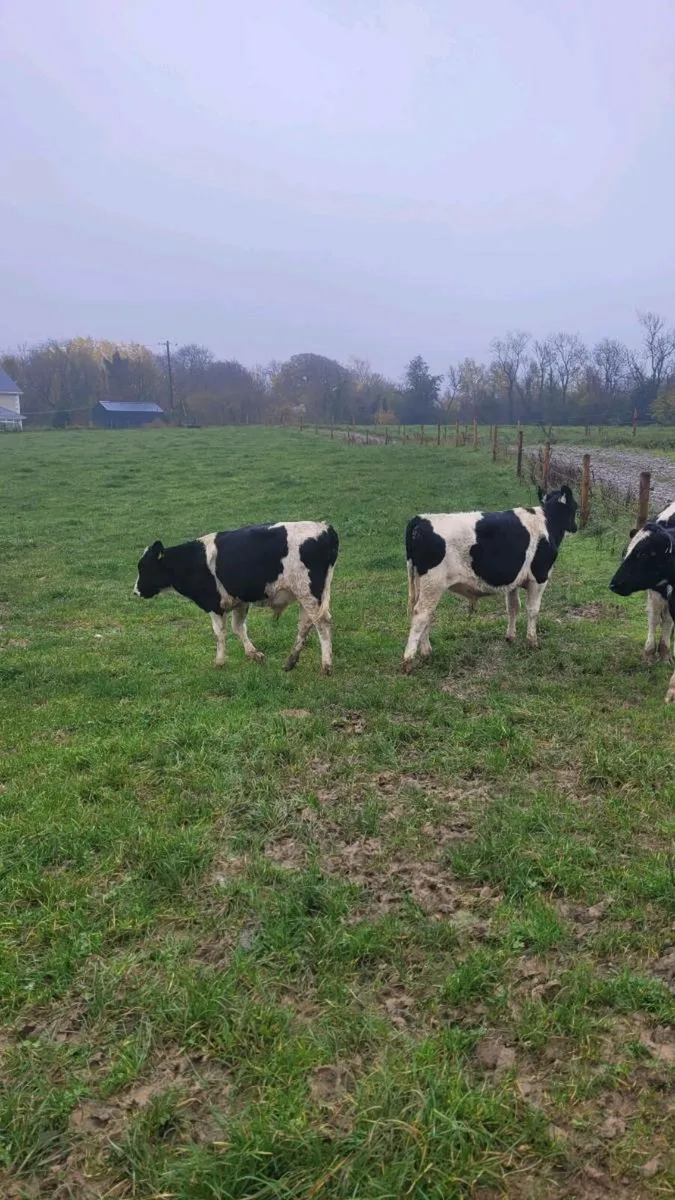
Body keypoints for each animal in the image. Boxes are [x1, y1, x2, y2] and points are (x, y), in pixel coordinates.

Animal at [134, 521, 339, 675]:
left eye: (143, 568)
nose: (136, 591)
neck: (191, 561)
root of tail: (326, 529)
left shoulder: (214, 604)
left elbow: (219, 633)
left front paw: (219, 661)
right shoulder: (240, 601)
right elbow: (238, 628)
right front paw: (254, 654)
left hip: (308, 592)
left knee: (321, 623)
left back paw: (326, 665)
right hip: (307, 595)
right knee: (305, 625)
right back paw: (290, 661)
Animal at [403, 485, 578, 672]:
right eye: (575, 507)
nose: (575, 527)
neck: (547, 523)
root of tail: (421, 519)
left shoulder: (513, 581)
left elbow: (513, 607)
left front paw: (510, 637)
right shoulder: (539, 577)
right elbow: (532, 610)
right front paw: (532, 642)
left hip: (421, 584)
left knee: (426, 614)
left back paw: (426, 652)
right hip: (433, 584)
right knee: (421, 614)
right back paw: (409, 660)